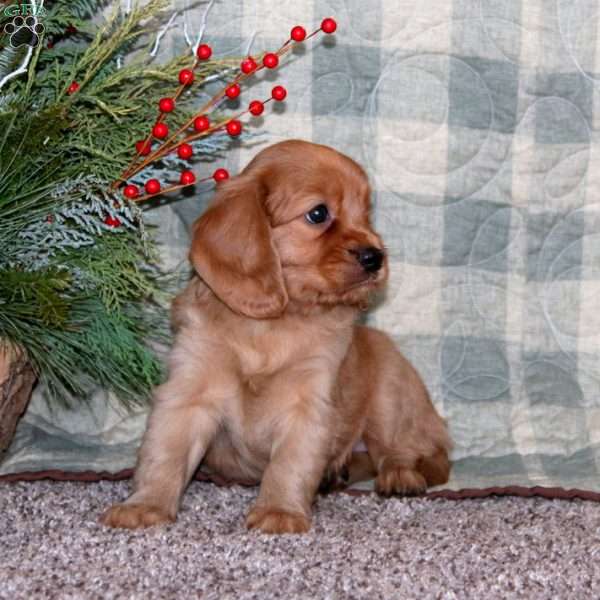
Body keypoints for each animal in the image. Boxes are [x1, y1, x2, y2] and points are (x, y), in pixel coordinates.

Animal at [102, 139, 450, 536]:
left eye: (365, 215)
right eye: (318, 214)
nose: (375, 257)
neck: (272, 324)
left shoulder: (308, 403)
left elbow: (290, 464)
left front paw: (279, 511)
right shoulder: (188, 391)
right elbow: (165, 453)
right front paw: (145, 505)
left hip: (389, 396)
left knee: (407, 452)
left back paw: (400, 476)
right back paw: (336, 476)